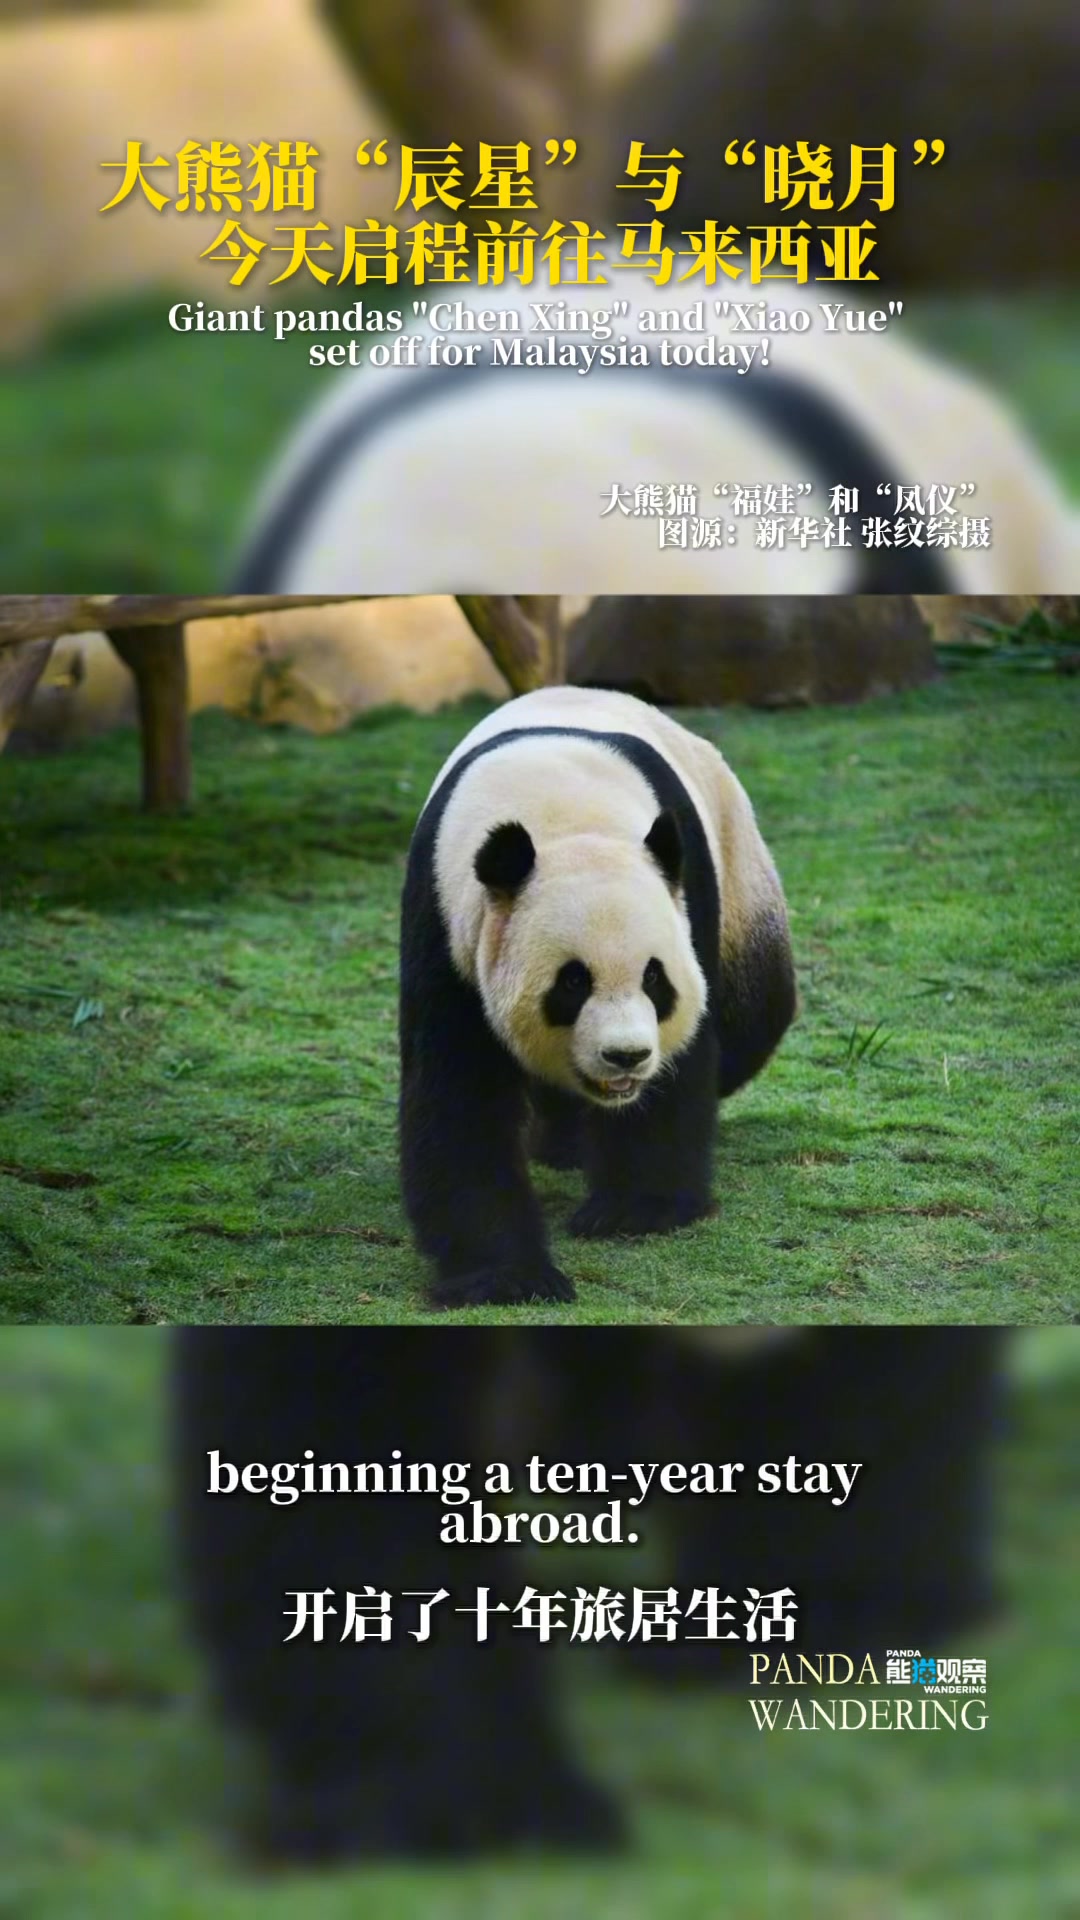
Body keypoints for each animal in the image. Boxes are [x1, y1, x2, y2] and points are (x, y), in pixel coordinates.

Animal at [400, 685, 796, 1308]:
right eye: (572, 983)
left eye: (654, 979)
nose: (626, 1057)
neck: (565, 816)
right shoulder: (446, 921)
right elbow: (457, 1095)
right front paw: (509, 1275)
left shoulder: (686, 896)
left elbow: (680, 1072)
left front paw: (634, 1211)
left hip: (739, 869)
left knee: (755, 1014)